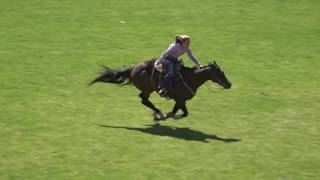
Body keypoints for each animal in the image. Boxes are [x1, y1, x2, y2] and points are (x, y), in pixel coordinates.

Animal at [90, 59, 232, 120]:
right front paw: (166, 115)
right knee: (143, 100)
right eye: (219, 73)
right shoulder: (180, 100)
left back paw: (158, 113)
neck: (190, 78)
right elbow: (182, 113)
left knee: (144, 100)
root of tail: (132, 68)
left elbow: (180, 112)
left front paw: (169, 115)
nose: (229, 84)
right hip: (148, 89)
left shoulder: (180, 101)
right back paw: (158, 113)